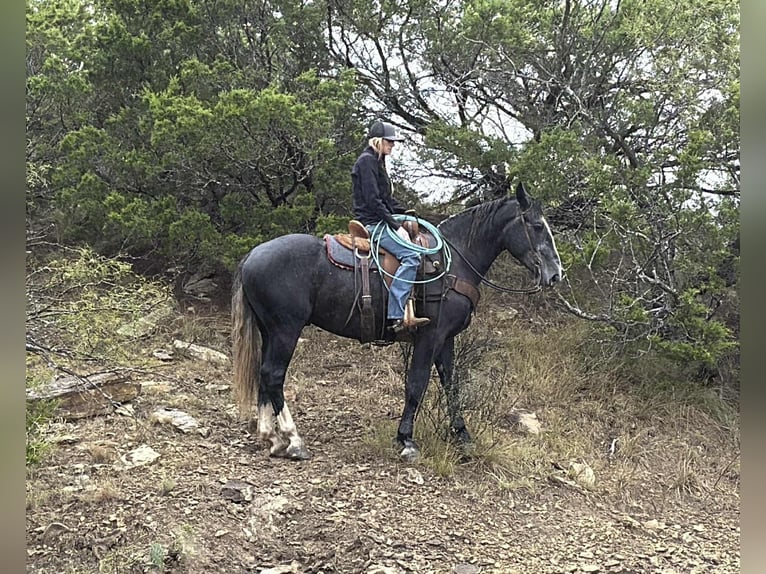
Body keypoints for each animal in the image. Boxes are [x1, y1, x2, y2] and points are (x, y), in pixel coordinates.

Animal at [231, 181, 564, 462]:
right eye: (536, 226)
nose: (555, 273)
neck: (453, 262)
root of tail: (251, 255)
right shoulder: (430, 335)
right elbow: (416, 383)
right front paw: (406, 440)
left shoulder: (446, 338)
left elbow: (451, 384)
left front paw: (462, 435)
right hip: (286, 330)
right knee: (274, 375)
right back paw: (294, 440)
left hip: (270, 331)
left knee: (264, 375)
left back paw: (272, 438)